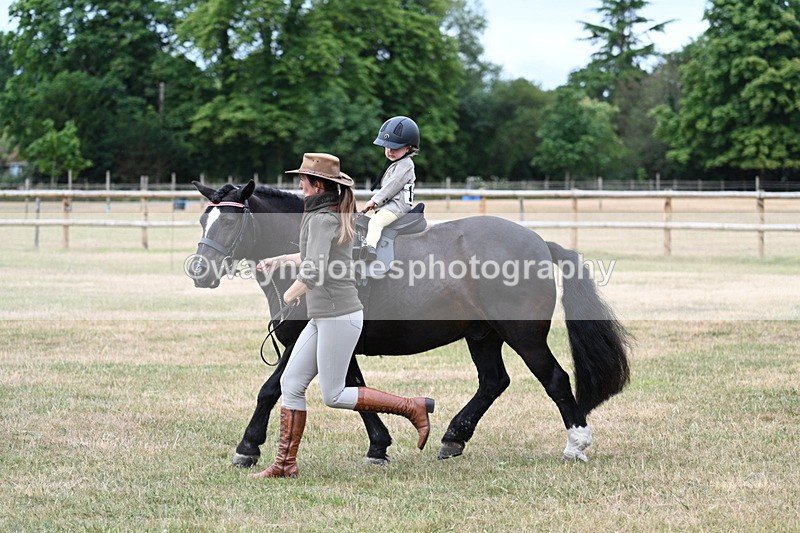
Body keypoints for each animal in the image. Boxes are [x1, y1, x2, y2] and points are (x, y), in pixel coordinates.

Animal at [187, 180, 631, 465]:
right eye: (203, 220)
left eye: (229, 222)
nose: (198, 271)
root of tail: (539, 242)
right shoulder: (337, 342)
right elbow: (355, 388)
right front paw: (379, 446)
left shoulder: (303, 341)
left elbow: (270, 389)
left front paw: (247, 447)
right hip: (483, 335)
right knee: (493, 382)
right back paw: (453, 438)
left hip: (524, 335)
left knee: (554, 379)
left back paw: (576, 444)